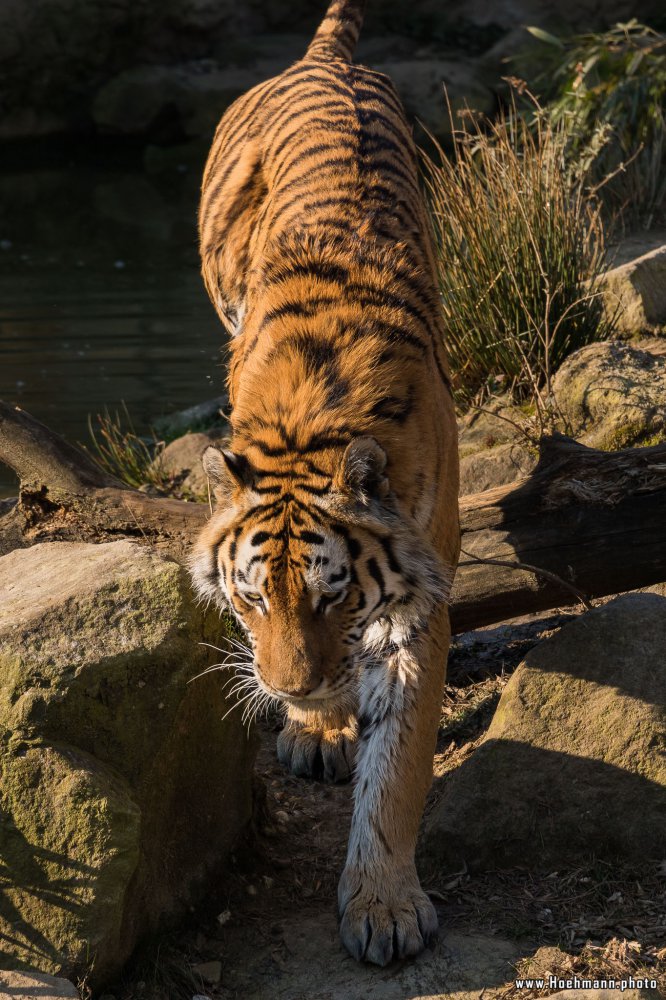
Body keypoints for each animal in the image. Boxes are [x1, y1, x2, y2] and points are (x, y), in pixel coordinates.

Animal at [189, 0, 460, 968]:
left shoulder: (420, 597)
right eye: (250, 600)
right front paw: (318, 725)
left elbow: (400, 767)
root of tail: (321, 56)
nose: (293, 692)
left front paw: (383, 904)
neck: (314, 423)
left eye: (334, 596)